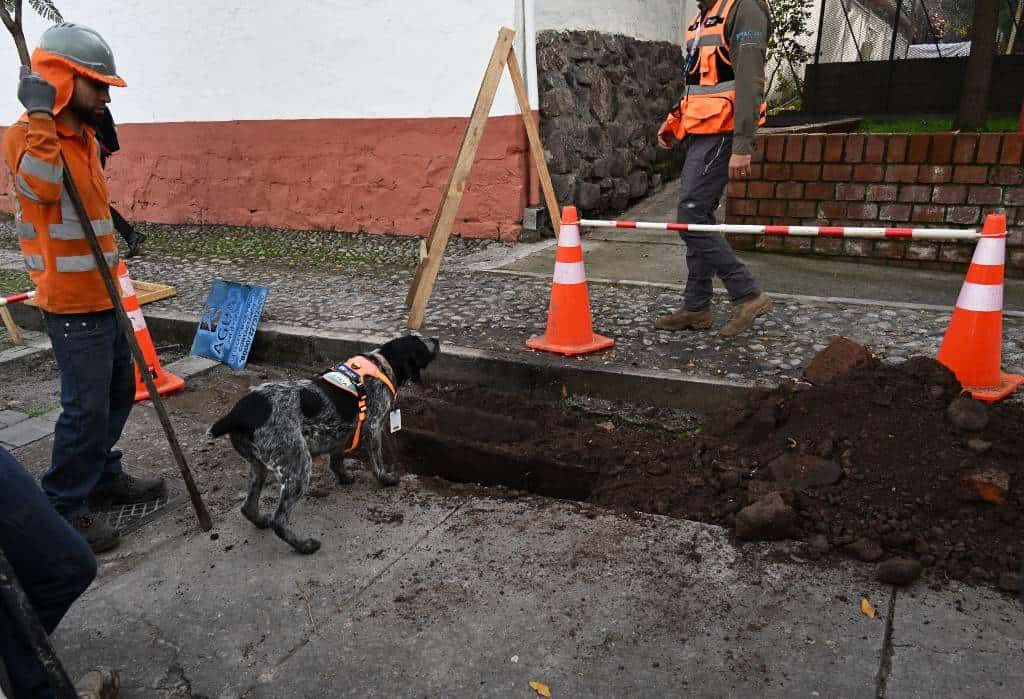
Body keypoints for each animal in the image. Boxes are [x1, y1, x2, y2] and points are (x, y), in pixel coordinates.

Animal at [207, 335, 440, 556]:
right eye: (420, 341)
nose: (437, 339)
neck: (383, 363)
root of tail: (236, 415)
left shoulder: (341, 433)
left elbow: (337, 461)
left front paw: (345, 478)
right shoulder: (372, 426)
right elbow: (378, 462)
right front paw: (386, 479)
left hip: (258, 465)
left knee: (248, 507)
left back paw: (260, 521)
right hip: (297, 465)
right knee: (279, 521)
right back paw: (304, 546)